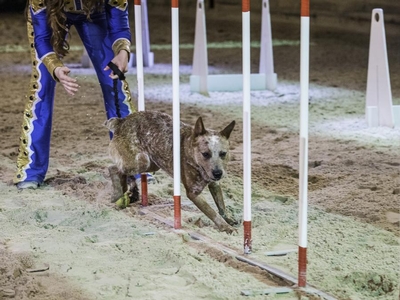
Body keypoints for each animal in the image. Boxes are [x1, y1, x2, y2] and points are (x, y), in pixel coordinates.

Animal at [104, 110, 239, 234]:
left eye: (223, 153)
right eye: (205, 154)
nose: (218, 173)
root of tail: (121, 121)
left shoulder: (215, 184)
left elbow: (221, 205)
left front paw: (228, 219)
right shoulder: (193, 193)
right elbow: (211, 211)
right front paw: (226, 227)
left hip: (152, 164)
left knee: (123, 172)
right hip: (140, 162)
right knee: (113, 168)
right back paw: (117, 192)